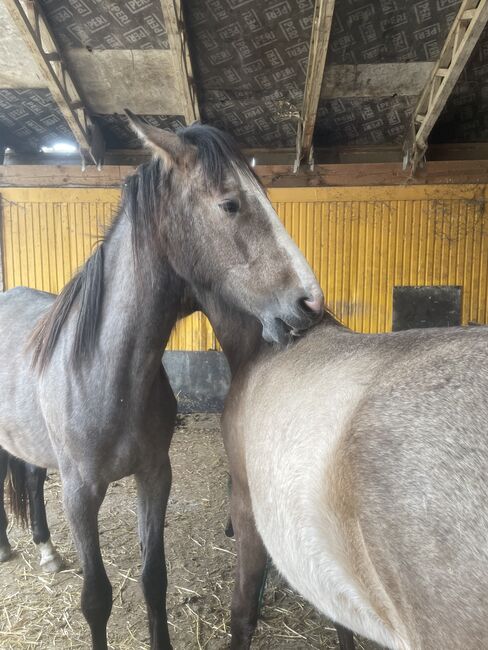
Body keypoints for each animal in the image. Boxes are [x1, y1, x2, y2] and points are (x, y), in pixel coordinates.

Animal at [0, 117, 324, 648]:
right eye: (230, 203)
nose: (311, 305)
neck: (108, 375)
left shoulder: (154, 476)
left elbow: (155, 578)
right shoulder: (80, 495)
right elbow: (96, 598)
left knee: (29, 476)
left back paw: (46, 549)